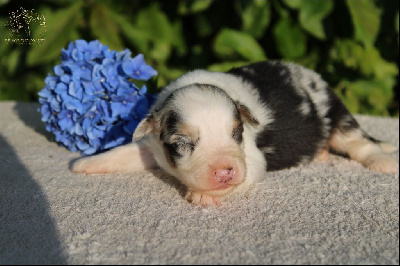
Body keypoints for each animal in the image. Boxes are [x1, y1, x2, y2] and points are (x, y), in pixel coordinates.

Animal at [71, 60, 396, 206]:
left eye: (237, 133)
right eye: (183, 143)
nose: (225, 171)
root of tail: (315, 78)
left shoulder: (253, 158)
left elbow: (246, 174)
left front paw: (204, 195)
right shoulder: (151, 144)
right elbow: (126, 152)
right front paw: (86, 163)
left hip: (339, 117)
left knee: (360, 142)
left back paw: (382, 161)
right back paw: (322, 155)